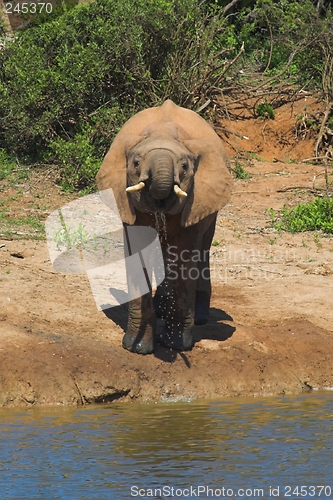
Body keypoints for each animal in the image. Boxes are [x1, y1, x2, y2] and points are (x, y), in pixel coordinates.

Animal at [96, 99, 231, 354]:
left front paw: (175, 346)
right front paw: (137, 347)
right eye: (136, 163)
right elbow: (138, 252)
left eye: (185, 166)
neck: (163, 133)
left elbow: (185, 256)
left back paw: (199, 318)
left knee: (203, 248)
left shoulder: (196, 197)